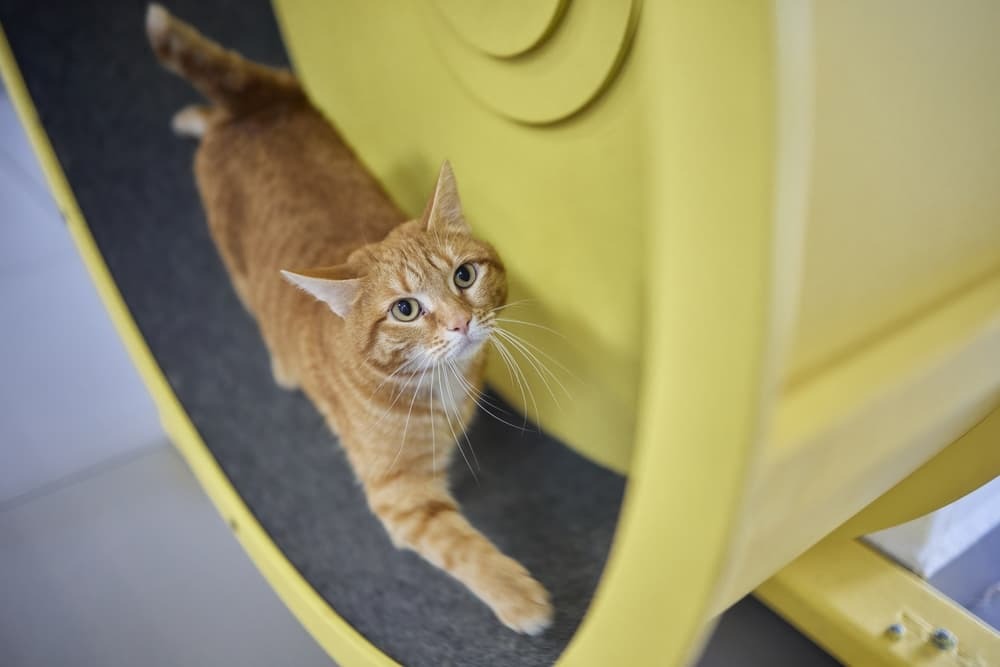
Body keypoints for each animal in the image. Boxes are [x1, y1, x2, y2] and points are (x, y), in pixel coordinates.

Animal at [146, 1, 556, 636]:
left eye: (464, 277)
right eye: (406, 309)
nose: (461, 324)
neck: (438, 387)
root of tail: (256, 108)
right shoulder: (402, 497)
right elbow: (463, 548)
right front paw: (519, 597)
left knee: (213, 113)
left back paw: (196, 115)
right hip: (237, 271)